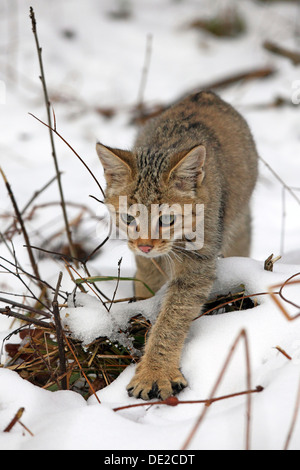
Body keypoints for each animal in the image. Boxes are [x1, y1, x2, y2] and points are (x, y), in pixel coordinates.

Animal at [96, 92, 258, 400]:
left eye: (167, 219)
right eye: (128, 218)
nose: (145, 246)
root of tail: (205, 93)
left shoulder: (198, 261)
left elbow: (172, 317)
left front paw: (154, 372)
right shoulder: (146, 258)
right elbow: (148, 282)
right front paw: (142, 304)